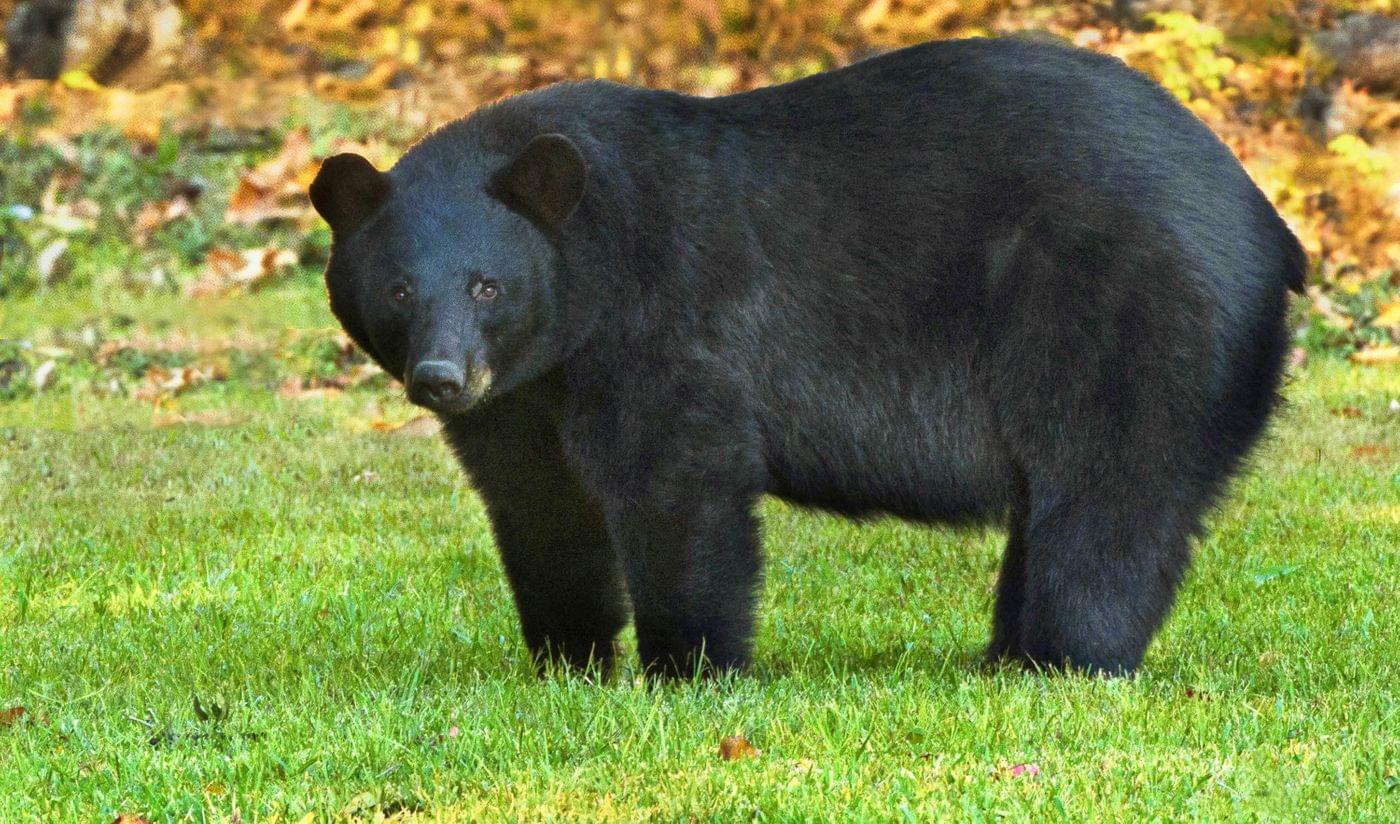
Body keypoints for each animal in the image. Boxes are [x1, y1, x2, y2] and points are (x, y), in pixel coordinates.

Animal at [306, 36, 1299, 674]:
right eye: (399, 291)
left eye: (487, 286)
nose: (442, 379)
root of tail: (1263, 215)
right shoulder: (527, 395)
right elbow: (540, 505)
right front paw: (568, 658)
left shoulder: (664, 319)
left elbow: (678, 481)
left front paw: (688, 666)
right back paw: (1003, 655)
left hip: (1133, 315)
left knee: (1107, 498)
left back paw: (1061, 658)